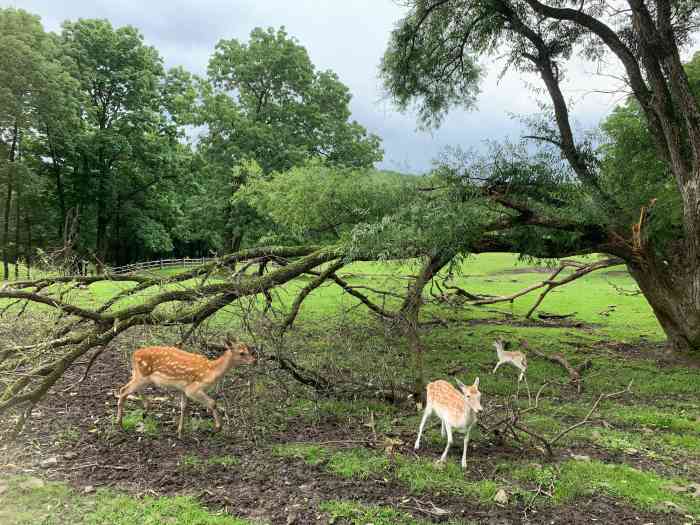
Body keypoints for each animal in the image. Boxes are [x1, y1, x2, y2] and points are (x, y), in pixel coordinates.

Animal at [116, 338, 256, 436]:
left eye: (249, 349)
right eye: (242, 353)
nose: (254, 360)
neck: (210, 372)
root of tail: (134, 354)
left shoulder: (184, 388)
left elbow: (183, 407)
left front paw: (180, 431)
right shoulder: (193, 389)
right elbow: (213, 403)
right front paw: (218, 427)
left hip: (141, 376)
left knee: (130, 389)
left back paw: (145, 410)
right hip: (142, 375)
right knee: (123, 390)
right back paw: (120, 423)